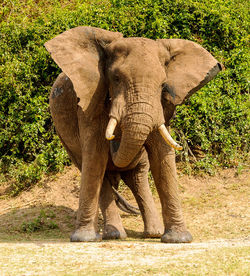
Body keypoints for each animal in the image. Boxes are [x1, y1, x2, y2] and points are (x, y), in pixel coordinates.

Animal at [44, 25, 222, 242]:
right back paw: (114, 235)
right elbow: (95, 155)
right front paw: (83, 240)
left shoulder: (161, 105)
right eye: (116, 79)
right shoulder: (90, 100)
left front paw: (178, 240)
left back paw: (153, 233)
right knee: (96, 169)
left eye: (163, 85)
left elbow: (162, 155)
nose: (115, 139)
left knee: (138, 176)